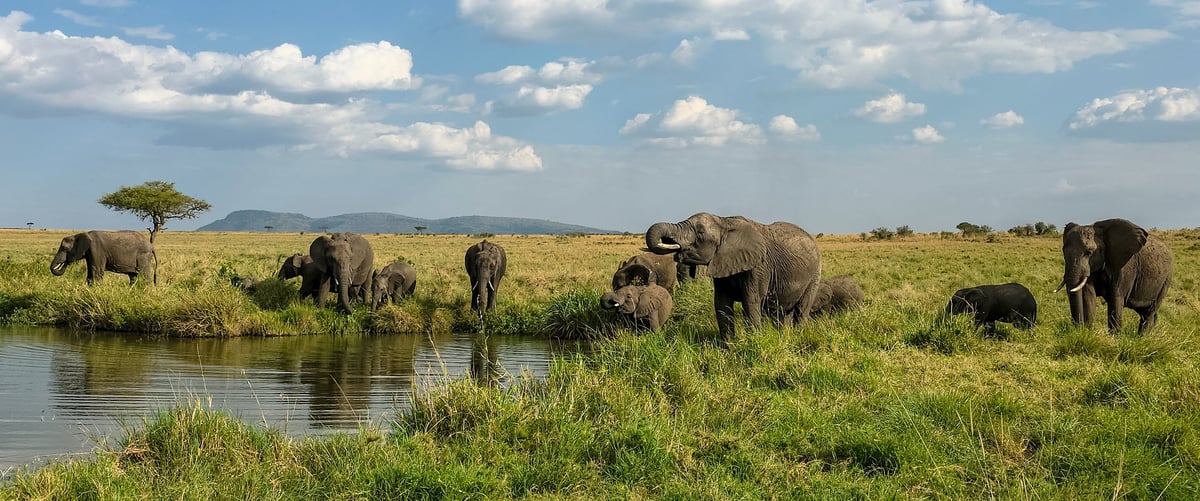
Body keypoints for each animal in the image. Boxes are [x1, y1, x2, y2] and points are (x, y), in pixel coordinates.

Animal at [645, 212, 821, 340]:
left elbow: (750, 302)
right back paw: (784, 336)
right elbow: (721, 304)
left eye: (700, 233)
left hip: (815, 276)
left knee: (801, 309)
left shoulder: (758, 267)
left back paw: (797, 336)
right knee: (783, 312)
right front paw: (728, 348)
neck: (724, 221)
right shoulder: (722, 263)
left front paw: (753, 342)